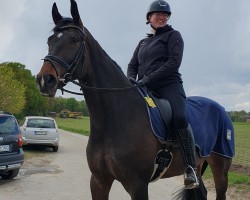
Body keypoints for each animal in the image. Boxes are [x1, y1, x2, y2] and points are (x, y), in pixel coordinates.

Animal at [36, 0, 233, 199]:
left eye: (75, 40)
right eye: (50, 41)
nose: (45, 80)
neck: (113, 119)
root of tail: (221, 109)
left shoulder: (137, 185)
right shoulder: (99, 180)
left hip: (220, 166)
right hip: (200, 164)